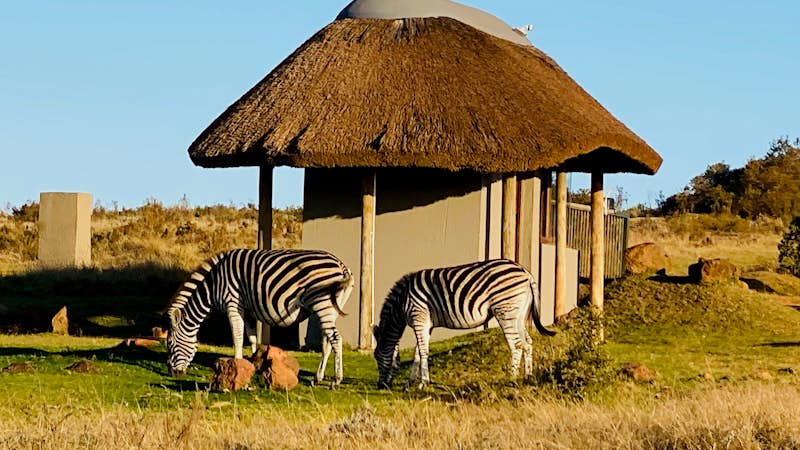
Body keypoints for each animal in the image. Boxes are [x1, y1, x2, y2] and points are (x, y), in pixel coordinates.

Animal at [164, 248, 354, 386]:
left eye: (170, 344)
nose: (171, 372)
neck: (214, 284)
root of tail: (341, 265)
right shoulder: (248, 310)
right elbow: (252, 337)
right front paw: (253, 363)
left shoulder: (233, 303)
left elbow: (237, 337)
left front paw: (236, 363)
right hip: (328, 308)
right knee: (326, 342)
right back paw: (317, 378)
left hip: (322, 304)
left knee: (335, 339)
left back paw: (336, 380)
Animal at [372, 259, 555, 389]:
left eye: (376, 357)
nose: (381, 386)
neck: (402, 302)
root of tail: (525, 272)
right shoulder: (426, 324)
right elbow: (418, 352)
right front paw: (410, 382)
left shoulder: (419, 318)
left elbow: (422, 352)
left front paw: (423, 383)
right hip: (519, 315)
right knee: (528, 343)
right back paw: (527, 377)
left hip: (505, 310)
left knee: (516, 345)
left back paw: (511, 379)